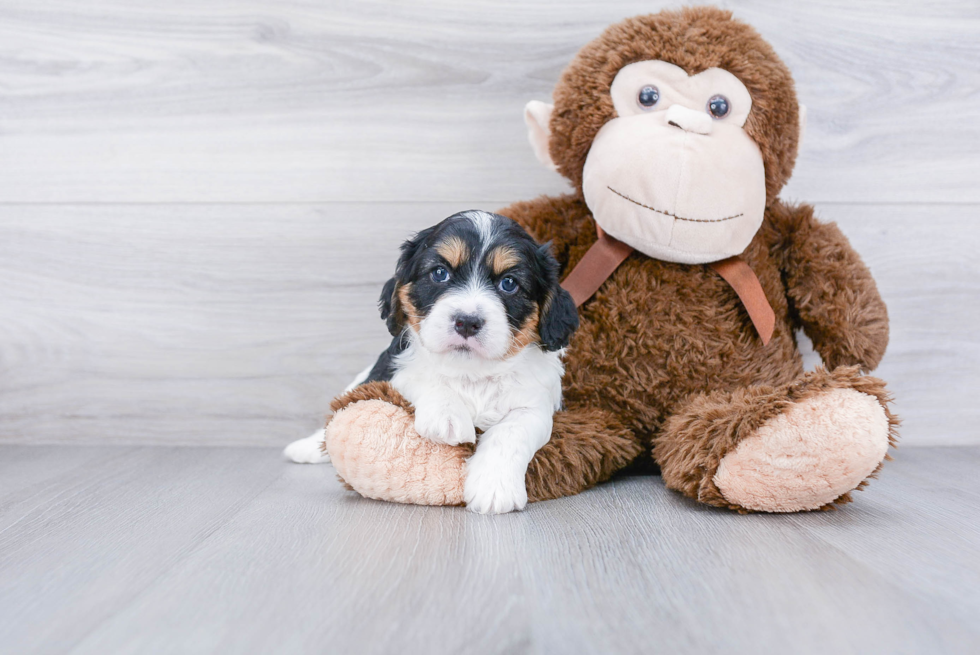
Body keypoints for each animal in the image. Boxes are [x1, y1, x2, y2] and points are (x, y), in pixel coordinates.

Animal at [284, 213, 580, 516]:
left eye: (509, 283)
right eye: (440, 273)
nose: (467, 321)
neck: (472, 373)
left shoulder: (535, 404)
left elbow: (512, 431)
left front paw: (494, 487)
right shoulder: (394, 369)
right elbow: (423, 377)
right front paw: (446, 415)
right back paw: (307, 447)